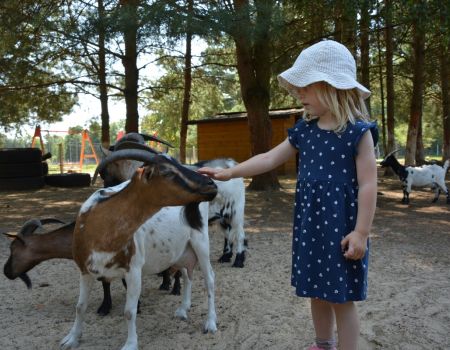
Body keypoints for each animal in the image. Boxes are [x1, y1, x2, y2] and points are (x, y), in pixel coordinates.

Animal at [60, 150, 219, 350]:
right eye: (167, 172)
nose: (211, 184)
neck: (98, 226)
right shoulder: (85, 270)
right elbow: (80, 306)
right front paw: (71, 339)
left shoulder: (133, 270)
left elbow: (129, 311)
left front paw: (130, 344)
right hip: (181, 248)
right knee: (186, 273)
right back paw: (183, 310)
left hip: (201, 241)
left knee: (210, 279)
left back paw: (210, 323)